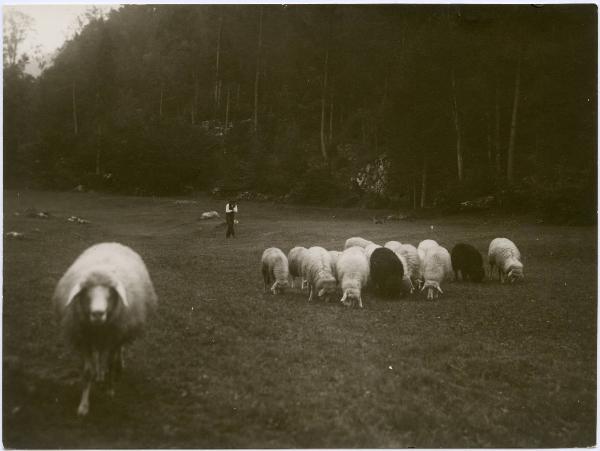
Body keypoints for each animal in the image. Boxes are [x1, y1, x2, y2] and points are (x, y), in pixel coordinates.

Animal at [52, 244, 157, 416]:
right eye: (86, 293)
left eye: (110, 294)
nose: (98, 313)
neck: (98, 327)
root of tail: (113, 243)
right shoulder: (84, 340)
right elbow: (88, 372)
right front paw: (83, 406)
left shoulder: (114, 337)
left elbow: (110, 363)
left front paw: (109, 390)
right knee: (99, 355)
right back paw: (99, 373)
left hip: (119, 333)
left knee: (116, 352)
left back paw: (116, 366)